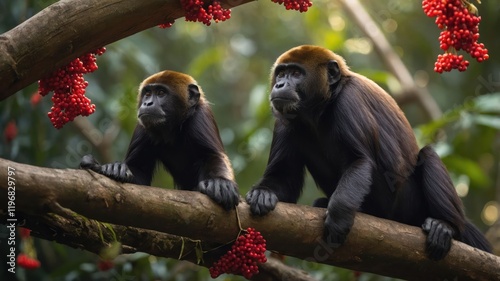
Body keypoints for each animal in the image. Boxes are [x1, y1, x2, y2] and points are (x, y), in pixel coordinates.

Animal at [79, 70, 238, 210]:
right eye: (148, 93)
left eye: (161, 93)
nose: (147, 103)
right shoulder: (143, 126)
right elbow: (140, 174)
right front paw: (111, 169)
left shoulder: (200, 117)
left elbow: (213, 155)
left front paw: (219, 183)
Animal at [246, 44, 492, 258]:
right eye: (281, 74)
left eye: (296, 73)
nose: (279, 85)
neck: (322, 106)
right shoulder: (284, 119)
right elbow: (284, 178)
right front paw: (264, 193)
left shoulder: (349, 101)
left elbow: (360, 161)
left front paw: (338, 216)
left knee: (428, 155)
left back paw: (445, 226)